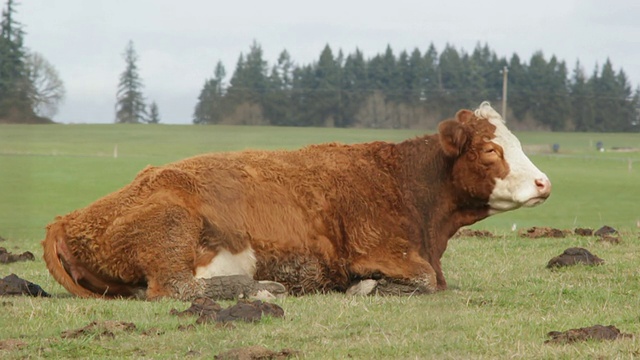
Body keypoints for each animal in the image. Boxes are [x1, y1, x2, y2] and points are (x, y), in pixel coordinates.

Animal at [41, 102, 552, 300]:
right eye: (490, 150)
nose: (544, 183)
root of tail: (68, 217)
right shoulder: (384, 253)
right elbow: (425, 281)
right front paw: (363, 288)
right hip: (170, 225)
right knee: (175, 289)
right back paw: (262, 288)